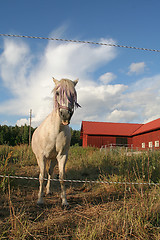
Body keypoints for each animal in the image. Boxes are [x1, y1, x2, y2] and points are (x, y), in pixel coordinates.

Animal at [31, 77, 80, 206]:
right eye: (57, 93)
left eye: (73, 94)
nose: (65, 115)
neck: (56, 130)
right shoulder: (42, 156)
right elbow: (41, 176)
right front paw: (40, 200)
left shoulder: (62, 156)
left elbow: (61, 177)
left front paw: (64, 201)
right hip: (40, 157)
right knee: (43, 173)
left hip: (53, 158)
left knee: (50, 172)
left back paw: (48, 191)